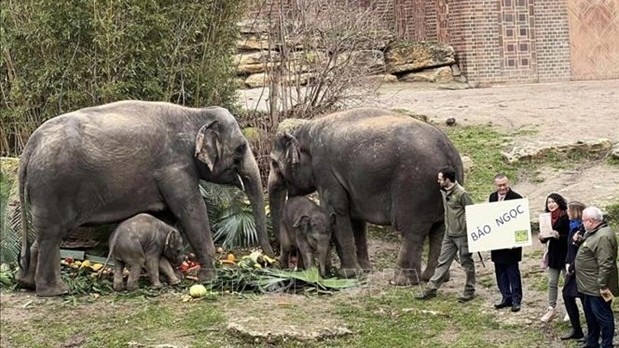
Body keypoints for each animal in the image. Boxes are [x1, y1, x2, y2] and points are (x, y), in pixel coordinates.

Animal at [17, 100, 272, 296]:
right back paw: (56, 291)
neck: (196, 112)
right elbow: (191, 211)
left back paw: (27, 284)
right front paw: (210, 278)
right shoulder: (175, 167)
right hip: (52, 187)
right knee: (52, 235)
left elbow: (166, 217)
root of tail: (29, 146)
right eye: (240, 149)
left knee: (44, 236)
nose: (269, 260)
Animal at [268, 107, 462, 284]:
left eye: (274, 163)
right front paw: (365, 270)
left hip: (415, 187)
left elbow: (336, 211)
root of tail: (449, 153)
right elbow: (356, 219)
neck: (308, 126)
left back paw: (401, 281)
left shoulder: (325, 171)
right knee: (440, 229)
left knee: (412, 230)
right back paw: (434, 278)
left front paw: (346, 274)